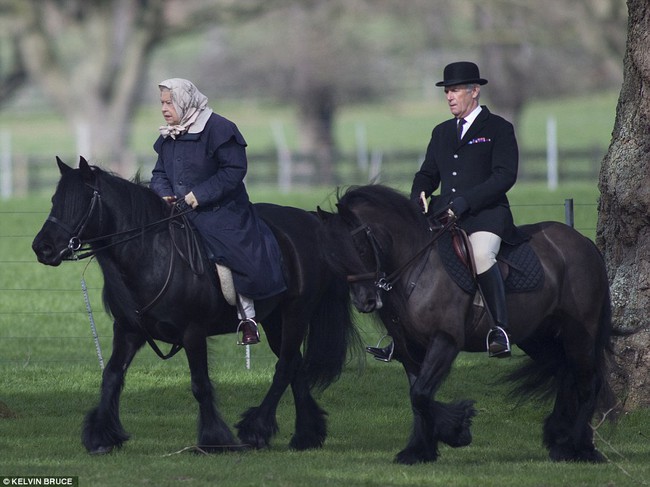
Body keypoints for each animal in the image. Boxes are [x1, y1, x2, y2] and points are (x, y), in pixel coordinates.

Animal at [33, 158, 356, 456]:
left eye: (80, 202)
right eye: (54, 201)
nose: (42, 248)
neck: (153, 255)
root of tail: (310, 222)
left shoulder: (193, 333)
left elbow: (200, 384)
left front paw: (215, 439)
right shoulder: (128, 330)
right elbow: (111, 376)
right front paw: (101, 436)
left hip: (296, 314)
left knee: (285, 366)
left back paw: (256, 430)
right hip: (275, 320)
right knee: (295, 367)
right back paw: (306, 435)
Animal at [316, 186, 616, 466]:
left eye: (360, 247)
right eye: (332, 253)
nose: (366, 301)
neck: (417, 268)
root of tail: (584, 243)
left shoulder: (445, 340)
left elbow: (421, 394)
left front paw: (456, 431)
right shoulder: (409, 348)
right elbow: (417, 396)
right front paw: (419, 450)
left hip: (579, 334)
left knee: (589, 382)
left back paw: (578, 448)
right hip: (537, 337)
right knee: (565, 373)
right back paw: (560, 439)